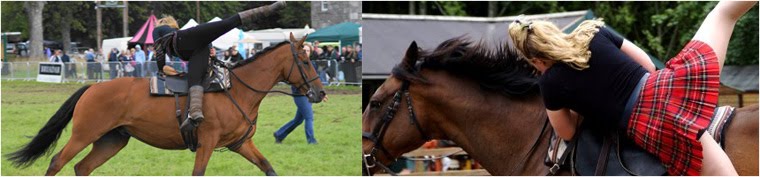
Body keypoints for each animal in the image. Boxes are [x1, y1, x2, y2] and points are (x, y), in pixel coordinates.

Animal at [8, 33, 324, 176]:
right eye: (306, 60)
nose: (320, 93)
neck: (234, 88)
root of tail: (93, 88)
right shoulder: (207, 142)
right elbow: (198, 172)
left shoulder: (240, 143)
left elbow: (268, 167)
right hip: (84, 134)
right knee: (58, 161)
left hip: (112, 140)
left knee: (82, 167)